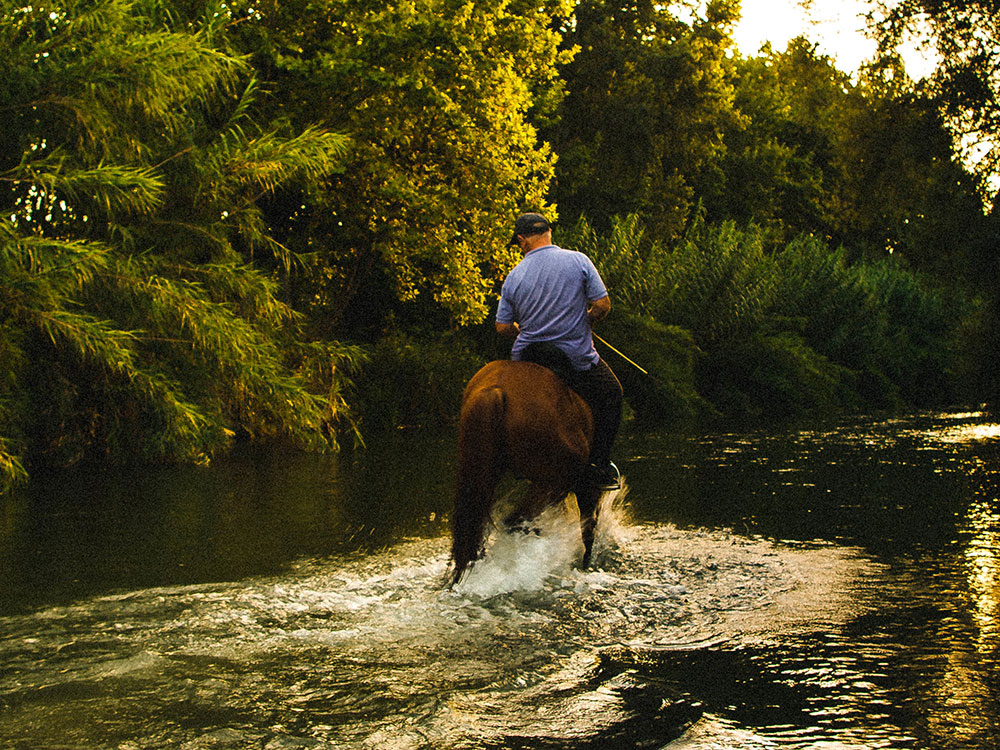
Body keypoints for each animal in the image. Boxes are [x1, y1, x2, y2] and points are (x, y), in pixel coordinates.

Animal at [452, 362, 604, 588]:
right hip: (556, 482)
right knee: (516, 521)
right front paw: (585, 565)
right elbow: (588, 525)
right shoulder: (585, 486)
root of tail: (496, 388)